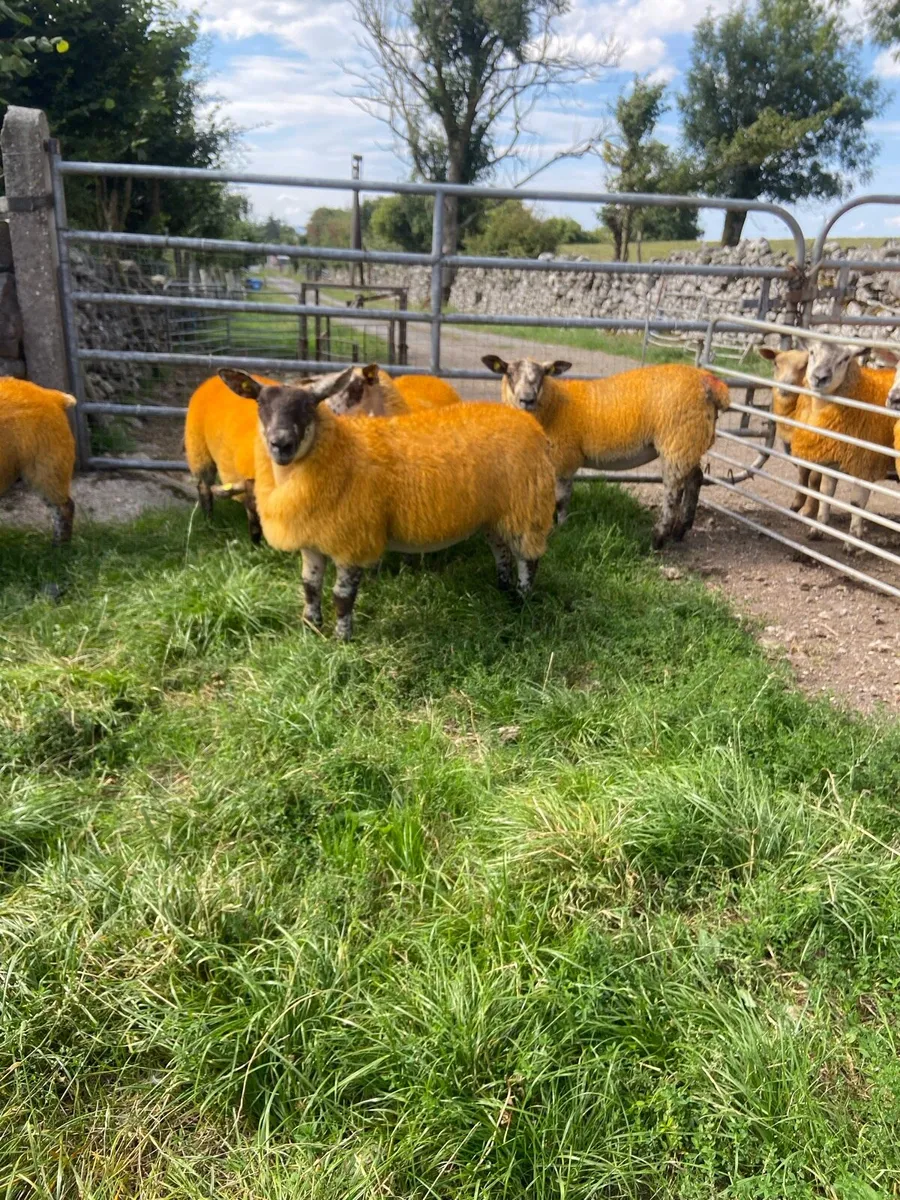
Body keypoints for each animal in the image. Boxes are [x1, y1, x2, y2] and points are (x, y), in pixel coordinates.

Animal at [184, 369, 370, 541]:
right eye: (260, 403)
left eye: (309, 406)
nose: (281, 443)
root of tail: (211, 380)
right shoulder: (251, 480)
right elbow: (254, 517)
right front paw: (257, 546)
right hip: (199, 450)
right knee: (204, 487)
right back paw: (209, 523)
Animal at [218, 367, 557, 641]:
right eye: (260, 404)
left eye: (309, 405)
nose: (281, 444)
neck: (339, 451)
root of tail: (529, 423)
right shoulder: (312, 540)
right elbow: (310, 587)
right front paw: (310, 629)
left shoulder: (352, 538)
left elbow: (342, 595)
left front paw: (342, 640)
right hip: (496, 512)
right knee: (501, 551)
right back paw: (503, 589)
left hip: (526, 506)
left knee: (528, 558)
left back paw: (522, 600)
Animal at [482, 355, 730, 547]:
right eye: (509, 373)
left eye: (543, 374)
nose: (527, 400)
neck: (554, 406)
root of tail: (709, 382)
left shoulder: (565, 458)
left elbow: (561, 499)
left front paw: (562, 527)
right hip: (689, 441)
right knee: (695, 479)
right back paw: (681, 530)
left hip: (676, 440)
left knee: (673, 491)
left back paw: (658, 538)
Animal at [758, 345, 819, 511]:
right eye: (776, 363)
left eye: (805, 365)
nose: (785, 386)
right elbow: (803, 475)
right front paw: (797, 504)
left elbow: (813, 478)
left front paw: (809, 510)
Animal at [793, 342, 897, 547]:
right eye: (812, 352)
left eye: (845, 359)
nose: (820, 378)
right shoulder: (831, 462)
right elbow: (825, 494)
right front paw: (817, 530)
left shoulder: (865, 466)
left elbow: (856, 504)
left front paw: (852, 541)